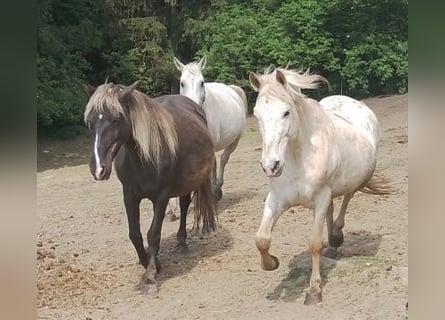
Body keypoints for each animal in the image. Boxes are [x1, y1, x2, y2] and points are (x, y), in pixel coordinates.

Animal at [83, 80, 217, 296]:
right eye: (90, 122)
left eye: (116, 120)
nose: (98, 168)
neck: (142, 159)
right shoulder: (129, 196)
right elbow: (135, 234)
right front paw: (148, 262)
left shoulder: (161, 197)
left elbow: (153, 234)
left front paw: (151, 276)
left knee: (184, 205)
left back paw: (181, 242)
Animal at [166, 57, 248, 218]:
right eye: (182, 83)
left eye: (202, 82)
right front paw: (173, 208)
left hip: (234, 141)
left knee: (222, 160)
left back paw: (217, 190)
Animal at [248, 67, 390, 304]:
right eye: (257, 115)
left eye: (286, 113)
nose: (270, 166)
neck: (298, 158)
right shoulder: (276, 199)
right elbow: (262, 239)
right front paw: (272, 263)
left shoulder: (321, 197)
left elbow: (314, 242)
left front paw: (314, 290)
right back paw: (332, 242)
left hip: (353, 181)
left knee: (346, 200)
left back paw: (336, 236)